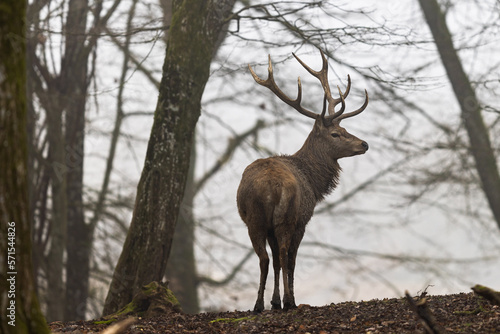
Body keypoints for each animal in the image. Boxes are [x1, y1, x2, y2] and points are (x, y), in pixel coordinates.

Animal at [236, 50, 370, 314]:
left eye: (345, 129)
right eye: (335, 134)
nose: (364, 144)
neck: (314, 183)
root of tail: (270, 187)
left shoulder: (270, 227)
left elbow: (276, 262)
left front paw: (274, 301)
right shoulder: (303, 220)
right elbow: (290, 261)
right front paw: (284, 300)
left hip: (255, 220)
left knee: (265, 258)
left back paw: (258, 304)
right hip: (288, 216)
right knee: (284, 254)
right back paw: (289, 301)